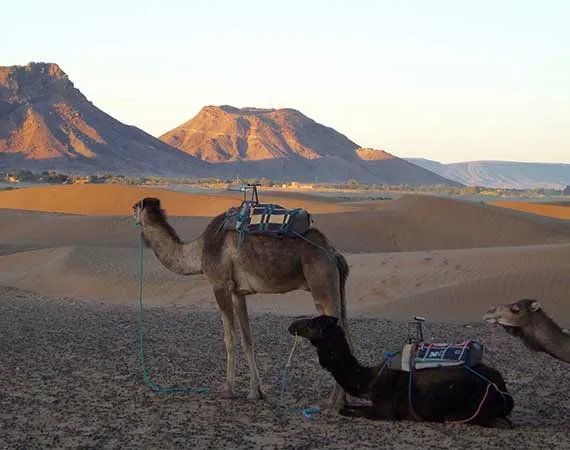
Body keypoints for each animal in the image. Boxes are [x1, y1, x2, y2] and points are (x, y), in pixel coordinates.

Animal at [133, 197, 348, 404]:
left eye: (135, 207)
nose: (132, 212)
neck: (199, 251)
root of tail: (333, 252)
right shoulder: (238, 292)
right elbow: (247, 339)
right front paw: (255, 392)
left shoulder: (220, 285)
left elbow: (229, 339)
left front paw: (228, 390)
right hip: (336, 285)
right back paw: (342, 399)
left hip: (321, 281)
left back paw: (333, 402)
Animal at [286, 314, 512, 428]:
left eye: (313, 323)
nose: (291, 325)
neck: (369, 380)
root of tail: (504, 392)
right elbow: (346, 407)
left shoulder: (385, 410)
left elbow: (345, 411)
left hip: (464, 411)